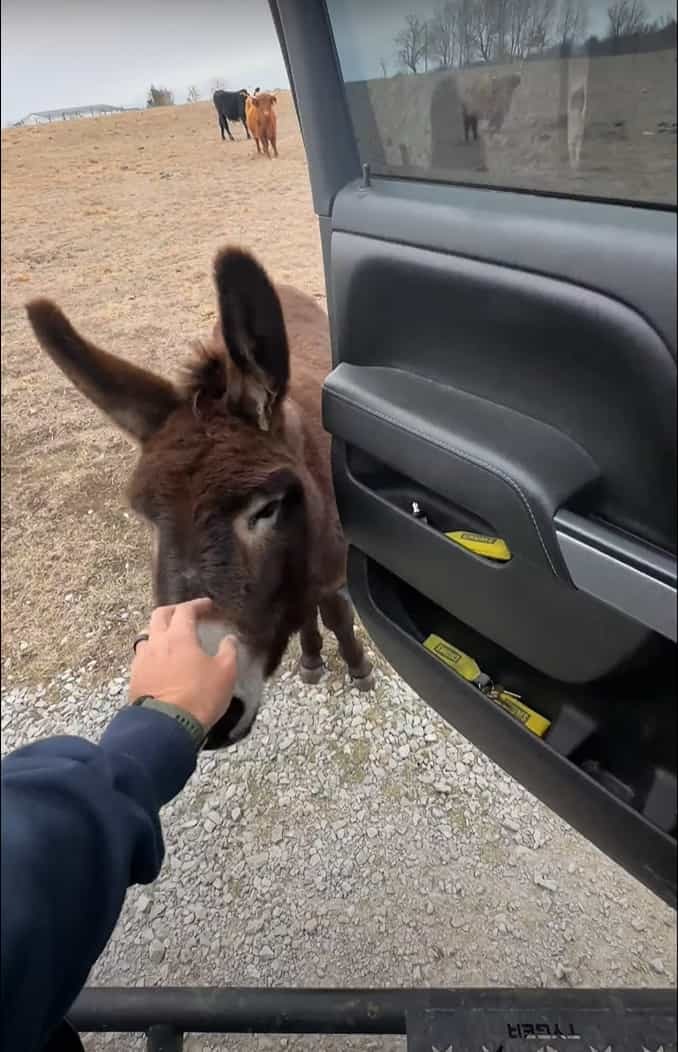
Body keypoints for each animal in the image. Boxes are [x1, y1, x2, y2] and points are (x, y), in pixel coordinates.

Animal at [26, 248, 372, 749]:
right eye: (151, 520)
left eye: (267, 509)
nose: (215, 710)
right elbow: (308, 615)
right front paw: (311, 659)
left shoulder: (330, 569)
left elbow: (337, 614)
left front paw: (357, 667)